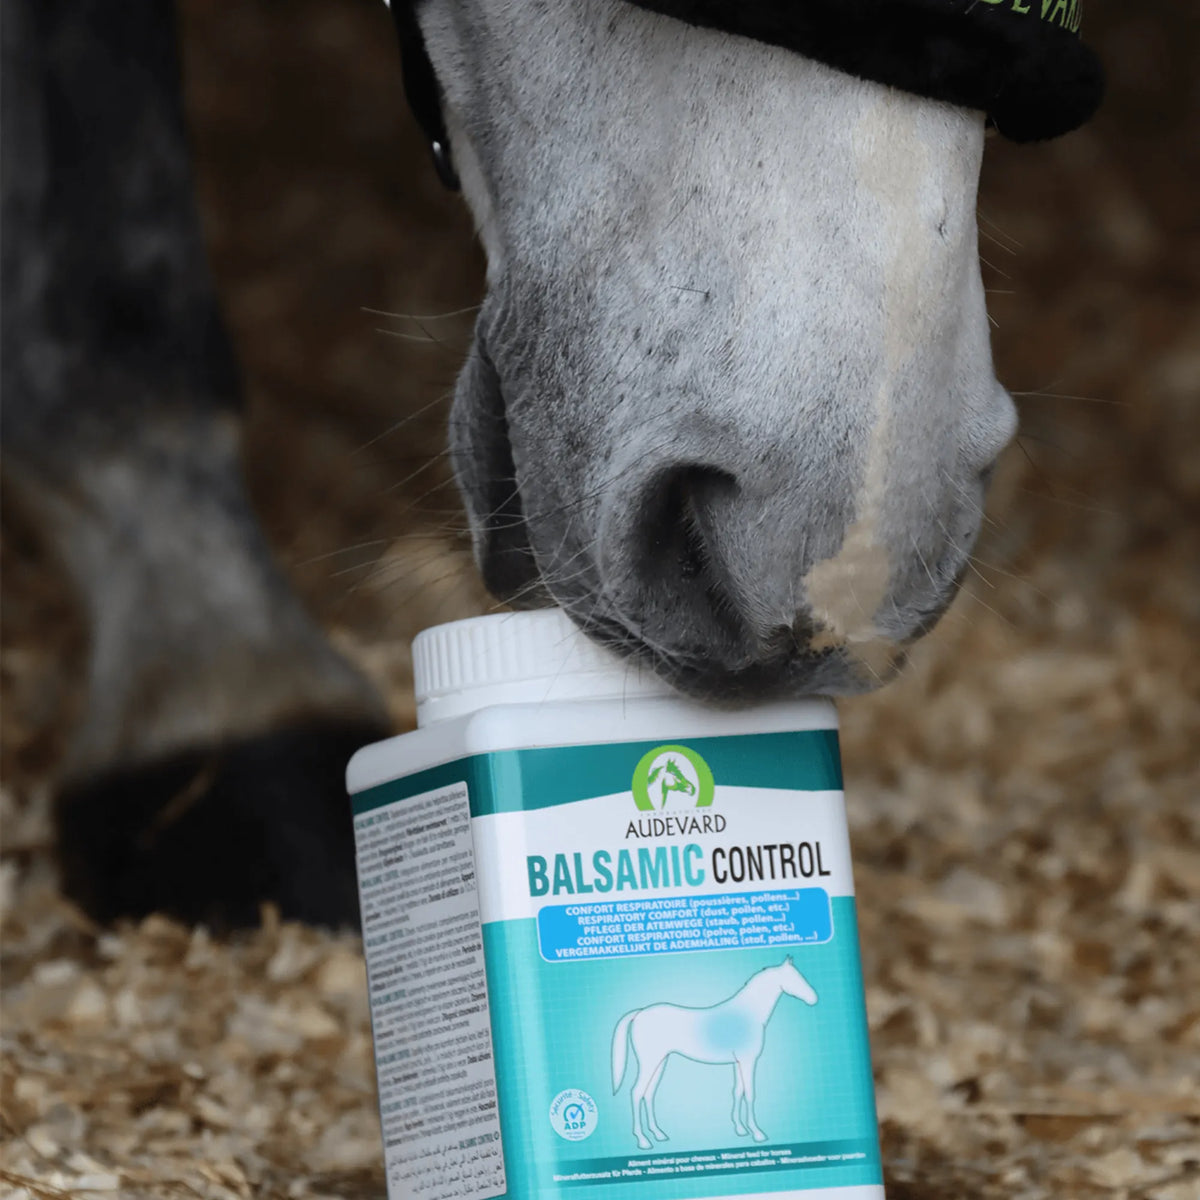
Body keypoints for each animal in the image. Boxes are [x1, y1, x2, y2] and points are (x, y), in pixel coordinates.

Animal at [612, 956, 818, 1149]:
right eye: (794, 978)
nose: (814, 999)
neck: (748, 1014)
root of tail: (640, 1013)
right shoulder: (749, 1062)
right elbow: (750, 1094)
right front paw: (758, 1134)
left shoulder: (738, 1063)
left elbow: (738, 1092)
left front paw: (741, 1129)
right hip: (650, 1062)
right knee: (636, 1092)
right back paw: (643, 1140)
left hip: (661, 1061)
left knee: (649, 1094)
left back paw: (658, 1134)